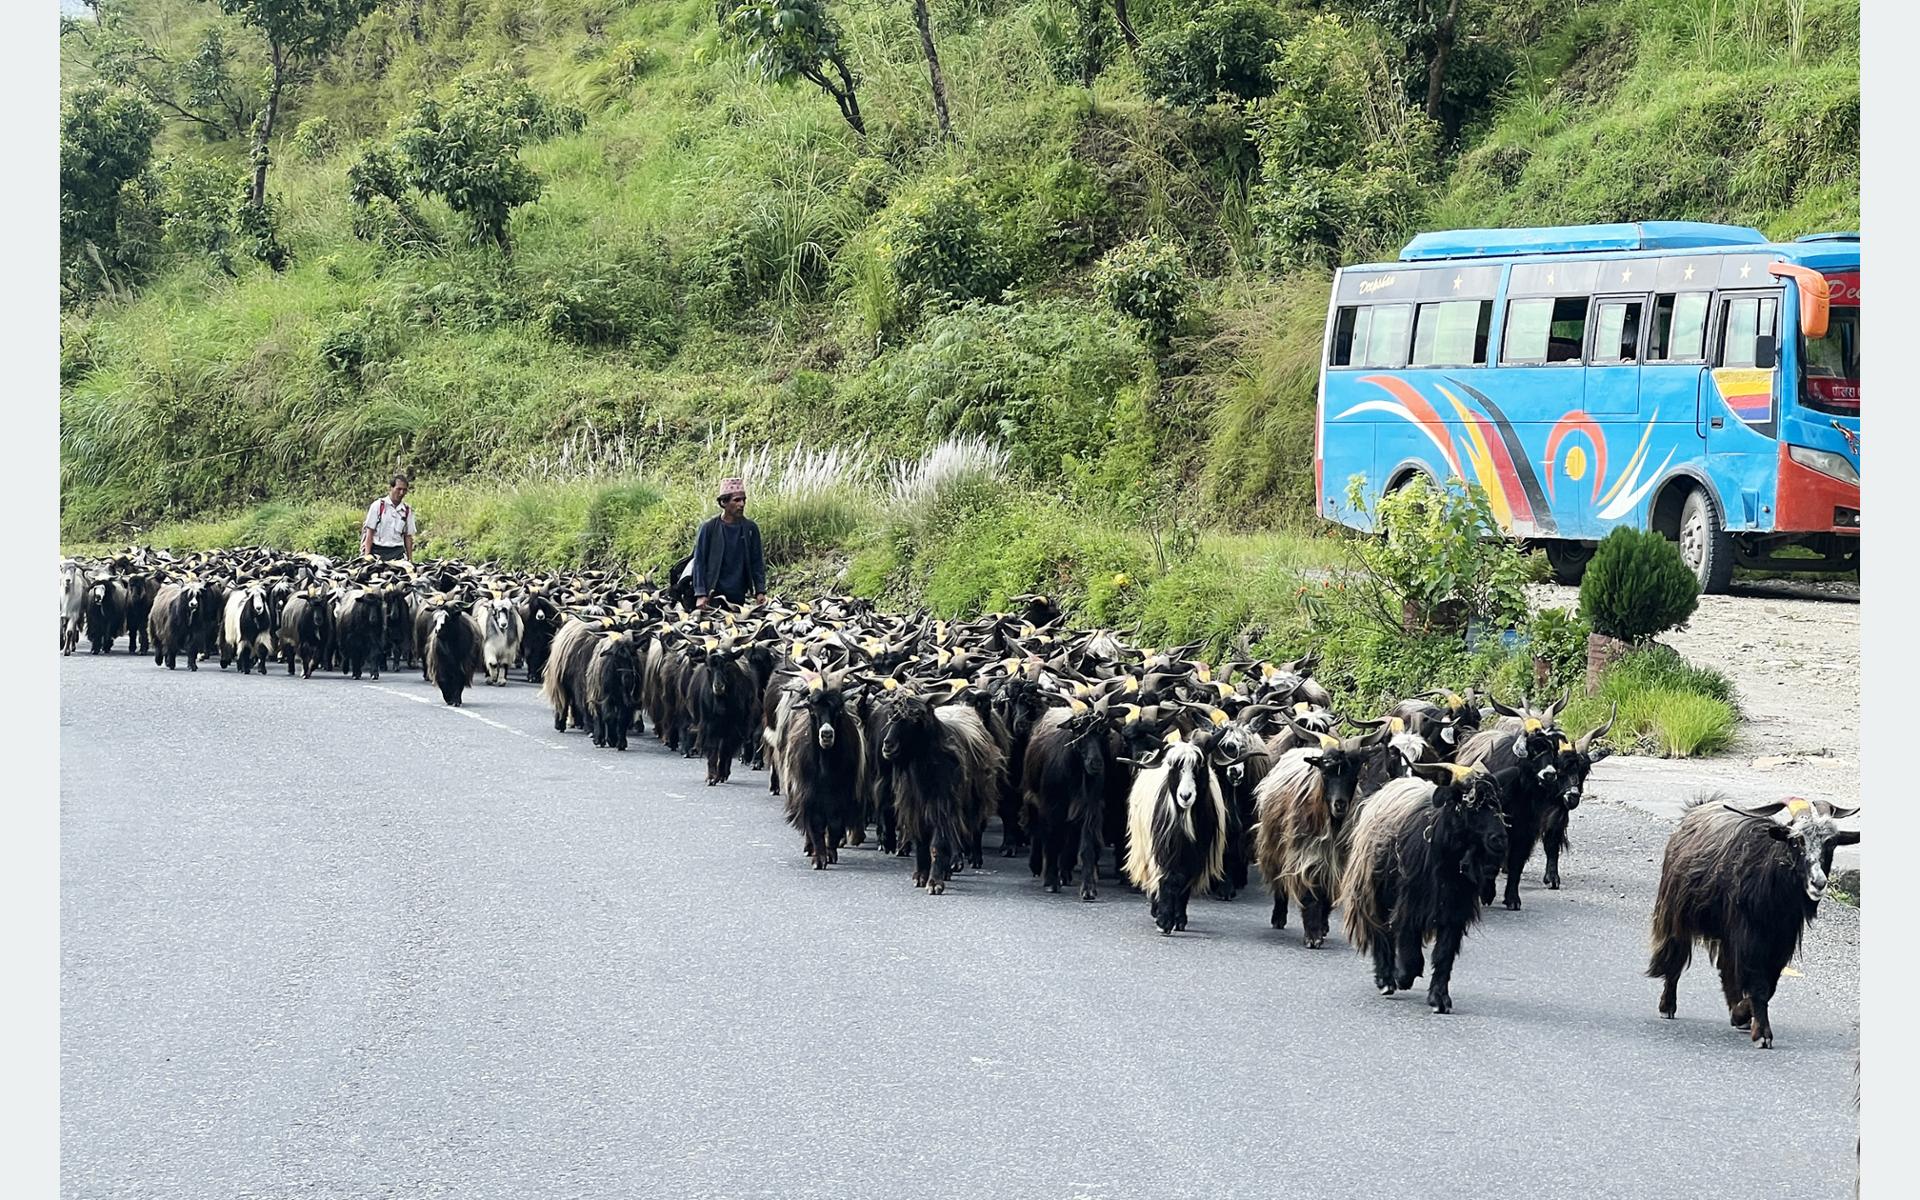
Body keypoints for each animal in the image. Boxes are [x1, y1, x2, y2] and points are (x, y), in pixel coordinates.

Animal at [1121, 729, 1236, 936]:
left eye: (1200, 765)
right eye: (1174, 766)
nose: (1185, 796)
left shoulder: (1196, 854)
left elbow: (1183, 882)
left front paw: (1179, 919)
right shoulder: (1164, 847)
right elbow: (1168, 879)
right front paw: (1164, 920)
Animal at [1344, 756, 1505, 1013]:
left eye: (1497, 802)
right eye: (1470, 804)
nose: (1499, 839)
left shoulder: (1454, 911)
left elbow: (1443, 955)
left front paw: (1440, 999)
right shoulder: (1410, 904)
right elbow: (1410, 952)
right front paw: (1402, 977)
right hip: (1373, 890)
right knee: (1381, 933)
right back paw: (1386, 979)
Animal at [1643, 794, 1850, 1044]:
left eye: (1831, 843)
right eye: (1796, 841)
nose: (1818, 883)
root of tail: (1696, 810)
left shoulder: (1779, 943)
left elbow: (1768, 986)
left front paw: (1742, 1014)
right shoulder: (1749, 936)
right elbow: (1758, 985)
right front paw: (1762, 1033)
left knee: (1725, 968)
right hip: (1676, 912)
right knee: (1675, 955)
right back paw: (1667, 1005)